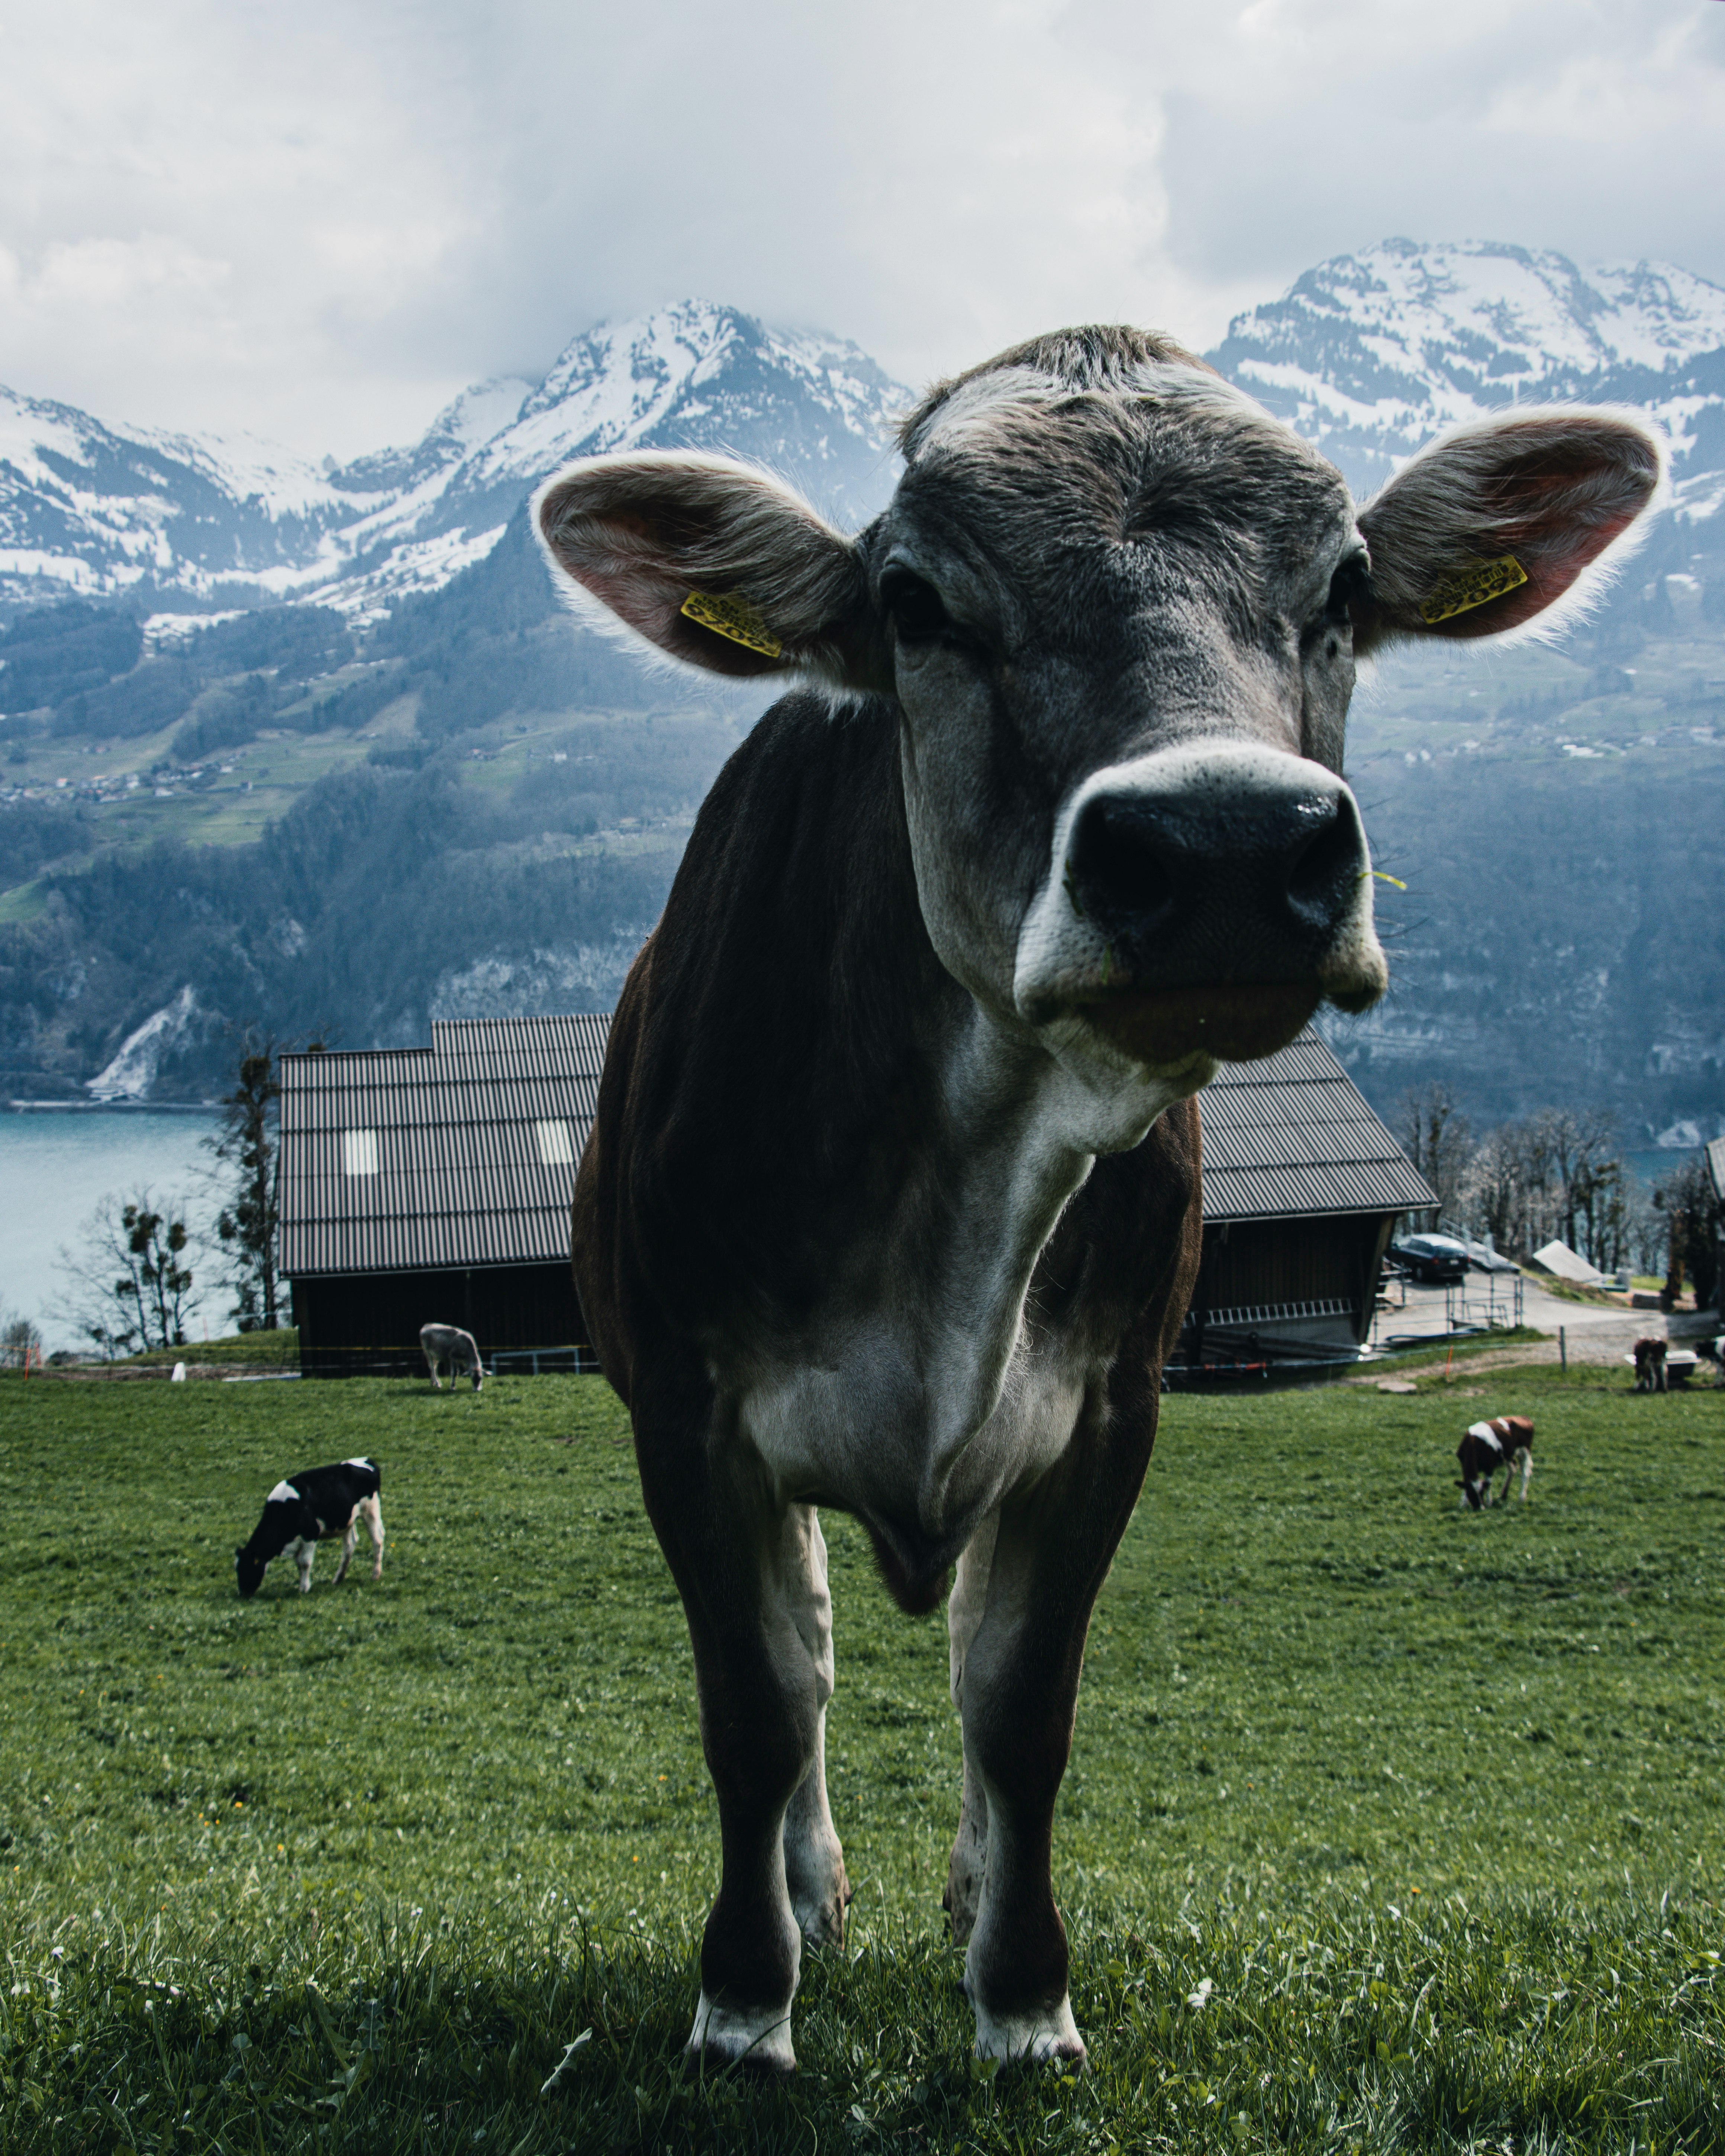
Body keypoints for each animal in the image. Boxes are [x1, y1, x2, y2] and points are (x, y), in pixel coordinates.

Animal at [234, 1457, 381, 1595]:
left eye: (247, 1568)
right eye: (237, 1568)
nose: (243, 1594)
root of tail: (366, 1460)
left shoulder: (311, 1534)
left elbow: (305, 1563)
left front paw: (305, 1589)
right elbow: (299, 1564)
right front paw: (302, 1585)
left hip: (371, 1510)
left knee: (377, 1541)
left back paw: (376, 1575)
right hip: (347, 1520)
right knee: (350, 1545)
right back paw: (338, 1578)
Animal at [422, 1311, 485, 1397]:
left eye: (481, 1378)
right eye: (472, 1378)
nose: (477, 1390)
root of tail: (427, 1325)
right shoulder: (453, 1357)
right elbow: (454, 1373)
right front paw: (452, 1387)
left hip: (436, 1355)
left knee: (435, 1367)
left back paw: (433, 1383)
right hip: (428, 1353)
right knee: (432, 1367)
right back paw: (438, 1384)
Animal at [1457, 1414, 1535, 1518]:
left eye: (1482, 1493)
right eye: (1471, 1494)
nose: (1480, 1508)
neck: (1473, 1443)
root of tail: (1523, 1417)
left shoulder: (1490, 1467)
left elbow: (1489, 1484)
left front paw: (1489, 1502)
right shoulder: (1463, 1464)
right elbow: (1465, 1484)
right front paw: (1463, 1504)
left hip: (1525, 1451)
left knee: (1525, 1473)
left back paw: (1522, 1497)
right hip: (1507, 1455)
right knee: (1513, 1469)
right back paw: (1503, 1495)